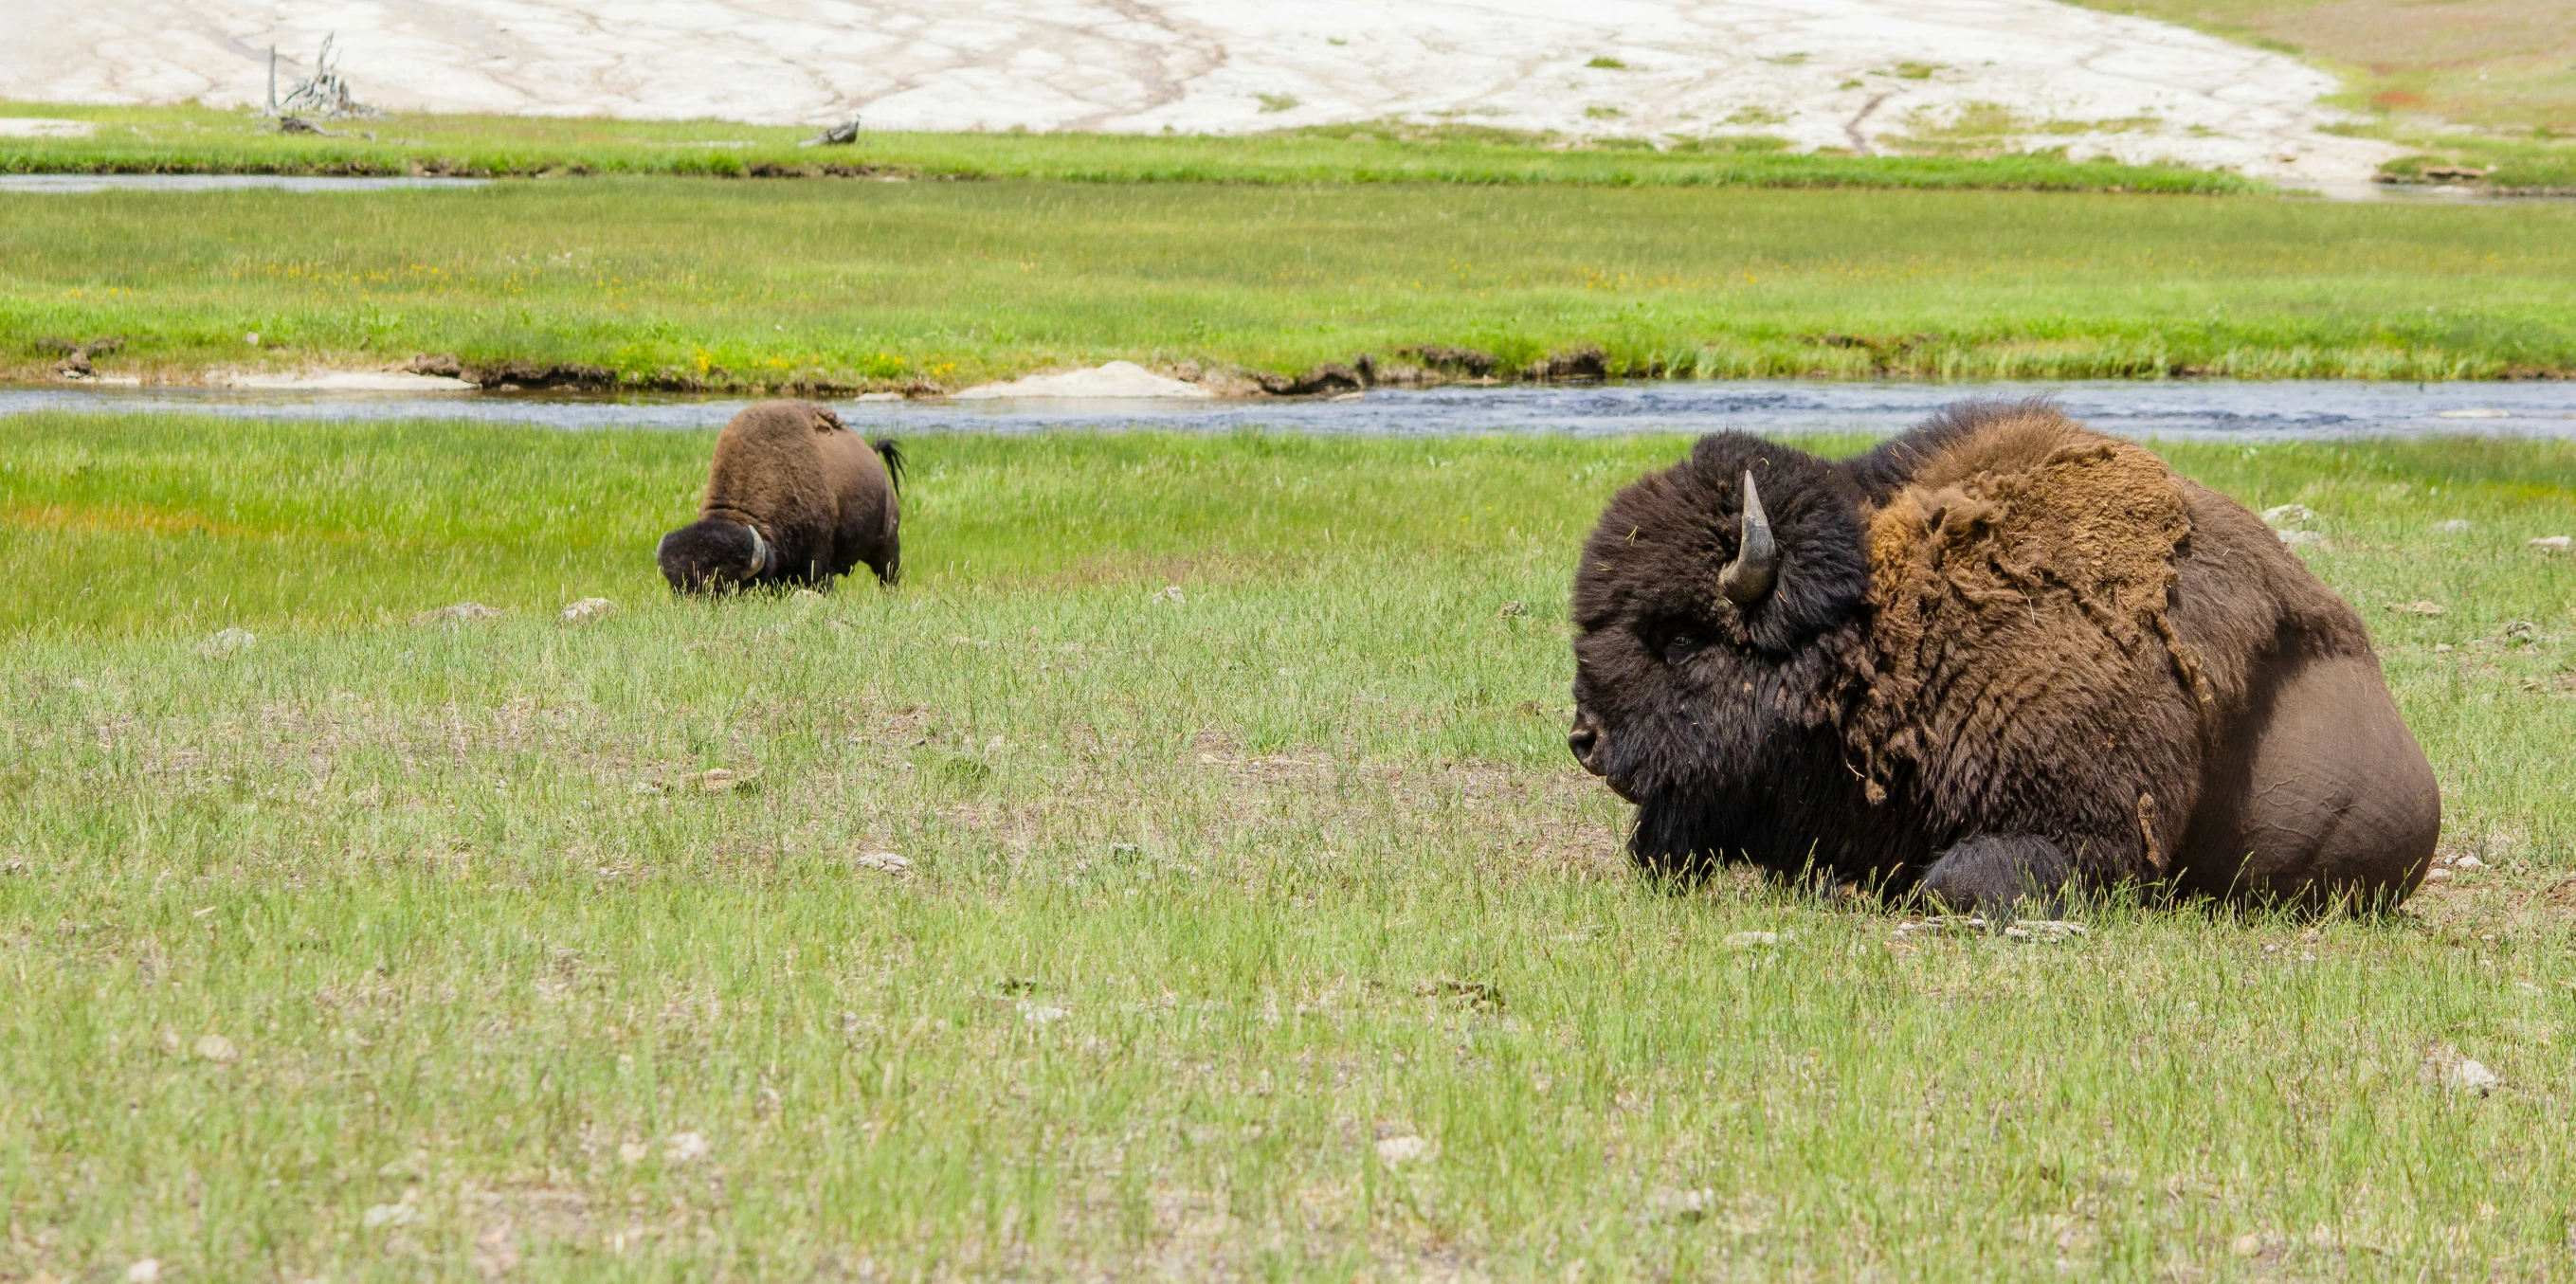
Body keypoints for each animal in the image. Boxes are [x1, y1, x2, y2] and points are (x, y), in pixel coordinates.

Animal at [659, 398, 912, 594]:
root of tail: (873, 454)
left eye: (724, 587)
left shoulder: (816, 564)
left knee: (888, 576)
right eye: (676, 589)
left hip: (888, 545)